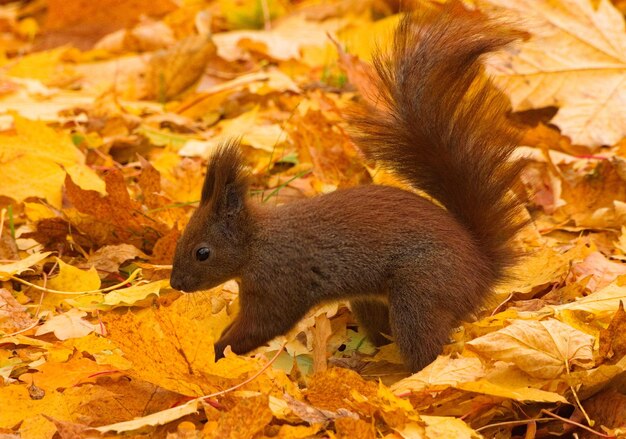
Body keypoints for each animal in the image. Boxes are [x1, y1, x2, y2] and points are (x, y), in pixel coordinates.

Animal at [169, 5, 528, 372]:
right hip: (372, 304)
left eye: (202, 252)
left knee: (425, 355)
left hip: (420, 294)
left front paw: (216, 352)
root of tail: (482, 268)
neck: (256, 243)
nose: (175, 284)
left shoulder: (279, 283)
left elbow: (263, 326)